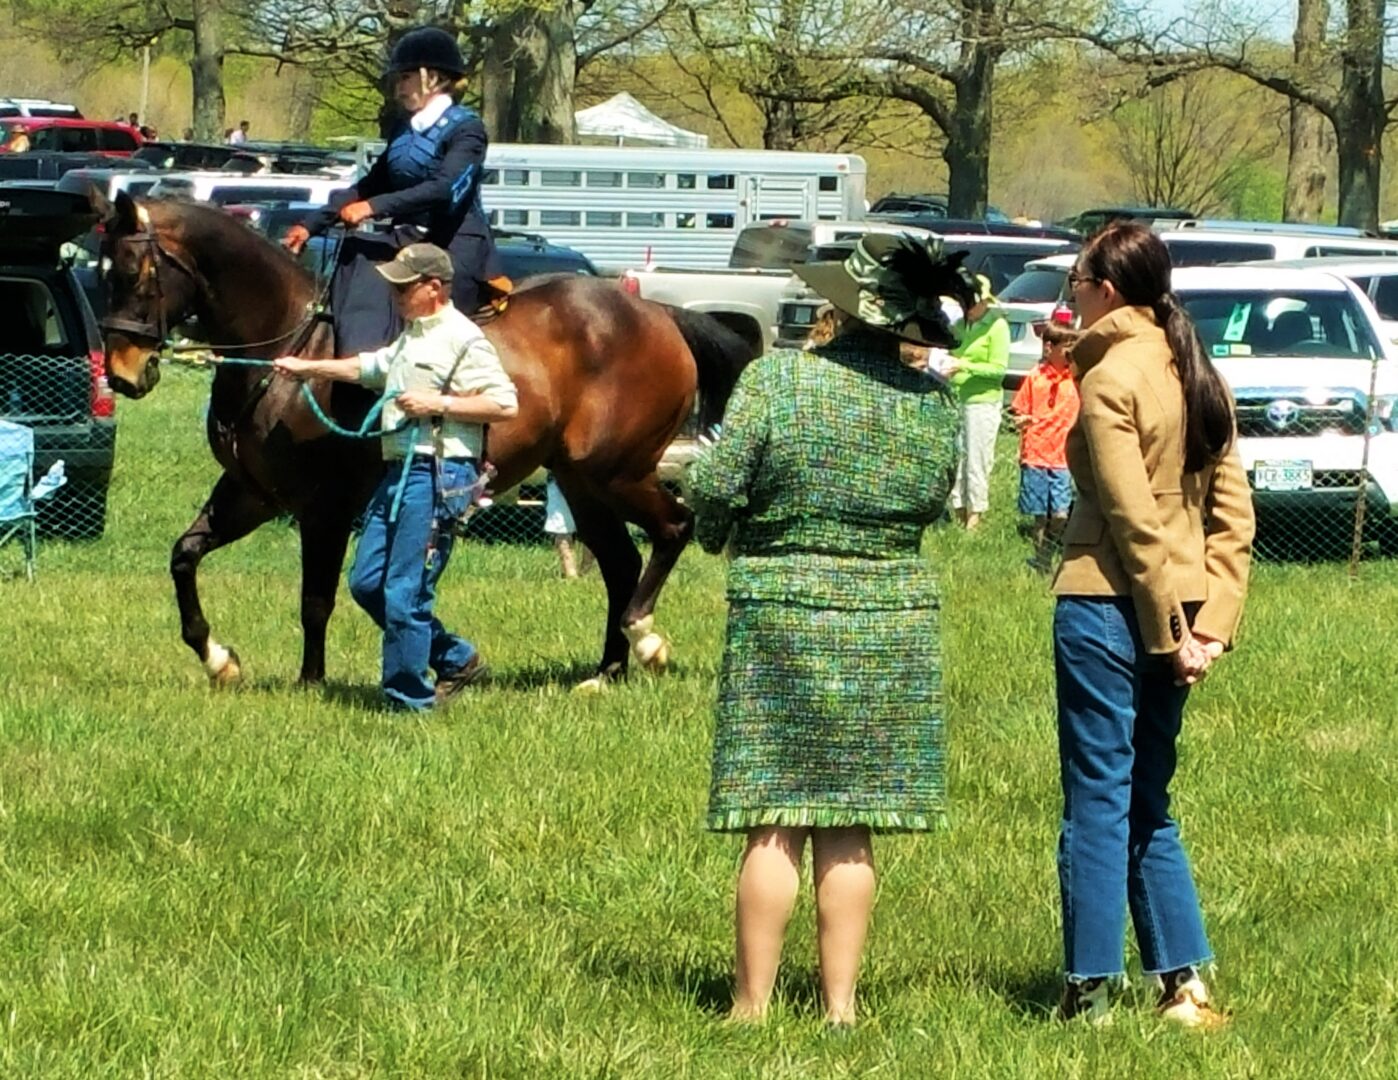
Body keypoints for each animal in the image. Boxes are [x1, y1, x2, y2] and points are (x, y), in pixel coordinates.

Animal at [95, 188, 754, 687]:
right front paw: (217, 658)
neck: (288, 346)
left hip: (617, 471)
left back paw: (644, 639)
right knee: (621, 563)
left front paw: (311, 682)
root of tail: (659, 315)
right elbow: (184, 555)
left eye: (132, 273)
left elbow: (315, 600)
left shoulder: (324, 508)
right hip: (581, 483)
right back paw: (606, 672)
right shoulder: (252, 494)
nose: (125, 373)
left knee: (673, 529)